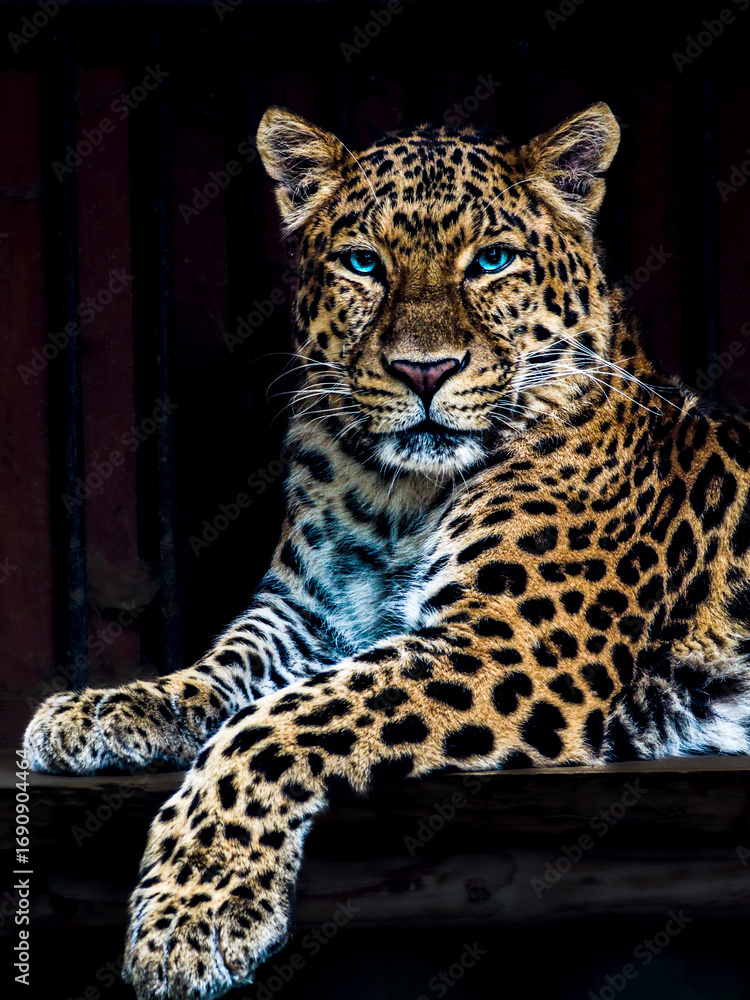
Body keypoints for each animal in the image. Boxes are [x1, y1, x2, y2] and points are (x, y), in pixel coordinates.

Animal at [24, 101, 750, 1000]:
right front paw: (106, 708)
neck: (399, 494)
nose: (424, 370)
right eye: (363, 263)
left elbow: (278, 722)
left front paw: (195, 907)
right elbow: (224, 667)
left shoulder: (510, 646)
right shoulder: (310, 613)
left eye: (493, 261)